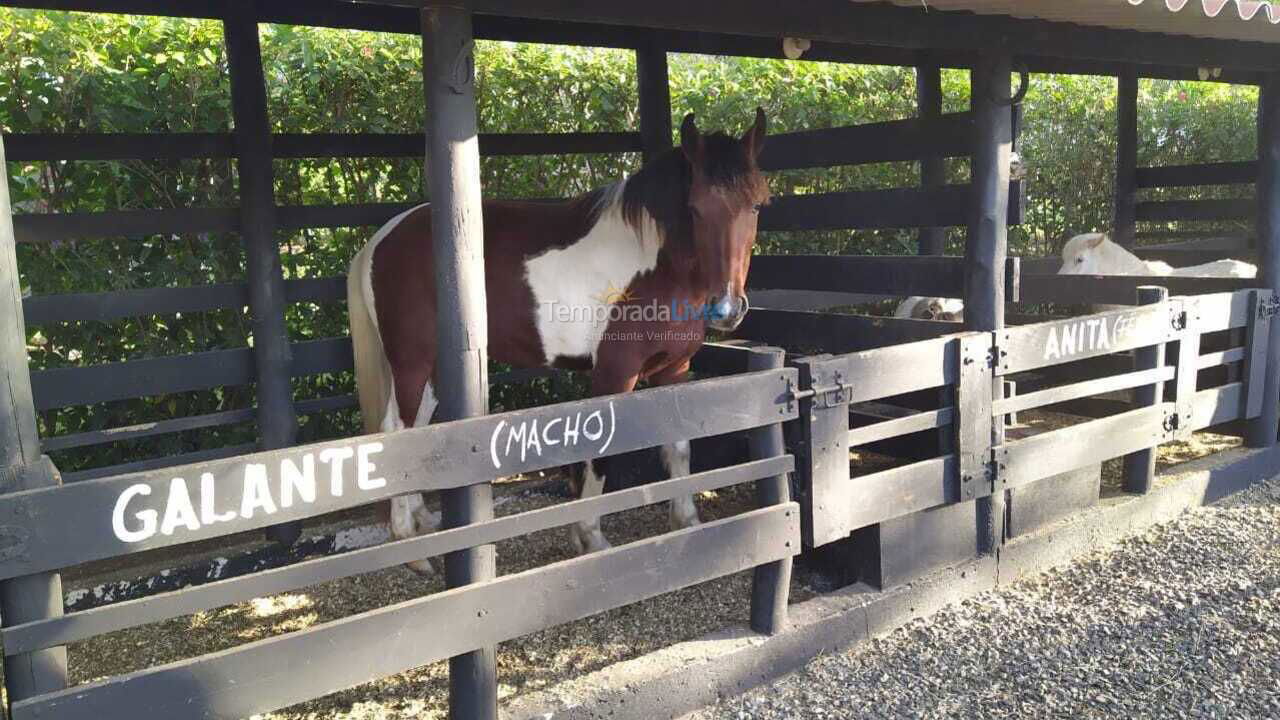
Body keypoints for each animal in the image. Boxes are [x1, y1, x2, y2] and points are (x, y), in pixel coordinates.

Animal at [345, 107, 768, 571]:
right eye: (694, 208)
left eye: (756, 205)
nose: (726, 307)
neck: (655, 266)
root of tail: (381, 239)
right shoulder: (615, 374)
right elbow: (604, 451)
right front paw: (590, 536)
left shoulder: (674, 371)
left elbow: (679, 445)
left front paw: (688, 522)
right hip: (412, 361)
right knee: (395, 430)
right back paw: (410, 546)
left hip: (437, 367)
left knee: (417, 434)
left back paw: (424, 527)